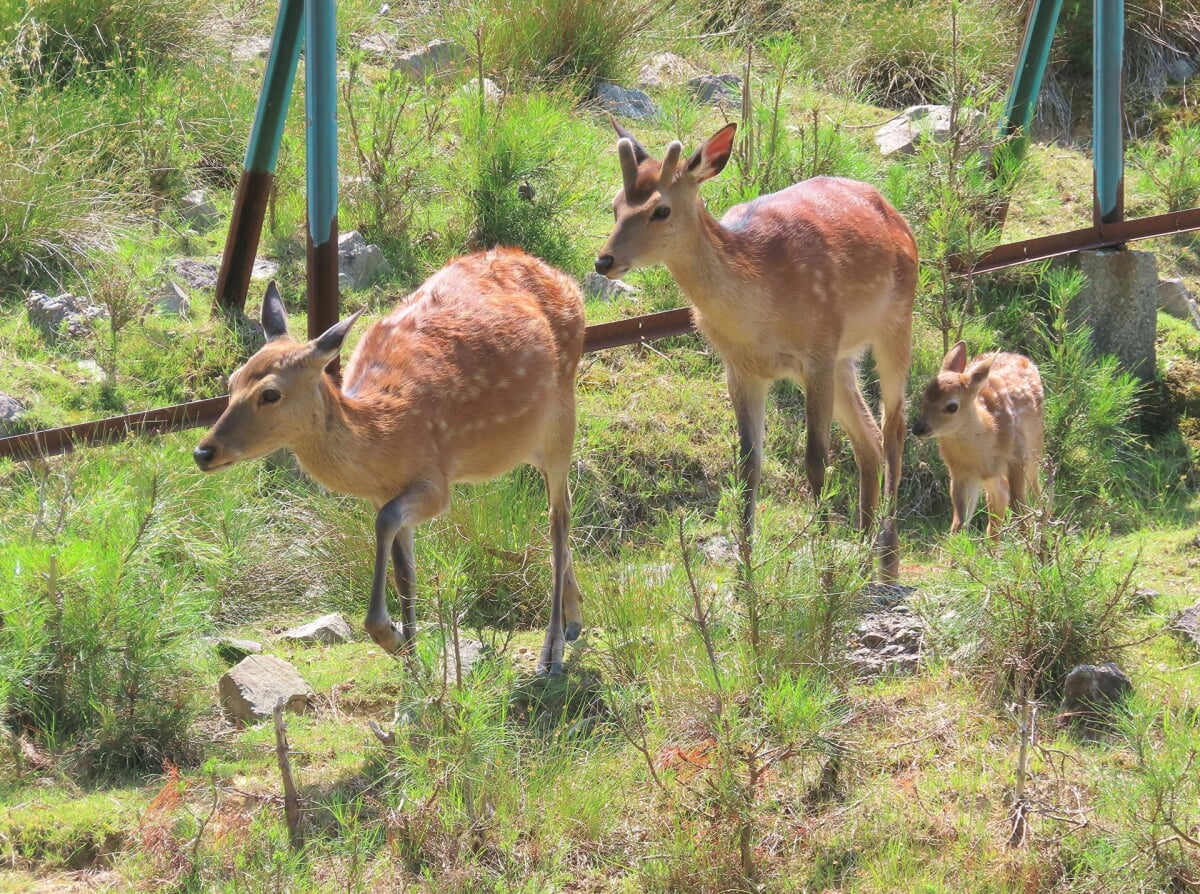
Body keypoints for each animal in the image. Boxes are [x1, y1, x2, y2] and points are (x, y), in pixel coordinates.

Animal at [194, 247, 588, 672]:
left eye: (270, 394)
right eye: (232, 381)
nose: (204, 451)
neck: (383, 437)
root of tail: (562, 277)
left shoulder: (434, 482)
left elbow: (385, 525)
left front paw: (392, 637)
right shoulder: (383, 492)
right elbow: (404, 571)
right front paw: (414, 663)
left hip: (562, 417)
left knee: (559, 516)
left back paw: (552, 650)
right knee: (558, 506)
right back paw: (575, 618)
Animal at [592, 120, 916, 578]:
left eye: (661, 209)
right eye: (616, 205)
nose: (604, 261)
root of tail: (894, 212)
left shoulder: (817, 350)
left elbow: (815, 459)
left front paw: (823, 563)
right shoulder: (741, 368)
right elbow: (748, 466)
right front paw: (746, 570)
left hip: (895, 322)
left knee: (894, 429)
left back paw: (887, 561)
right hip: (843, 359)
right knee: (867, 440)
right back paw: (863, 551)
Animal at [912, 340, 1046, 537]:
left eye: (952, 406)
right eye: (924, 397)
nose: (918, 429)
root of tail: (1020, 356)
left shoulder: (1018, 456)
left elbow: (1019, 507)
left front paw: (1028, 542)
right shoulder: (959, 472)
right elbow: (959, 522)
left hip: (1035, 450)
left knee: (1033, 491)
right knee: (999, 502)